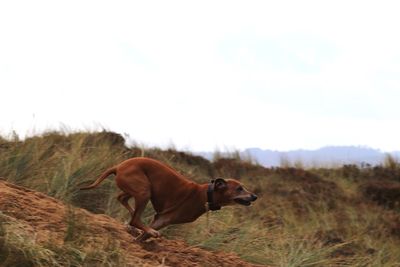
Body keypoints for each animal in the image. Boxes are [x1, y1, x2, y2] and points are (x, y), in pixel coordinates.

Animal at [79, 158, 258, 242]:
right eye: (239, 188)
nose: (254, 196)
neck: (206, 194)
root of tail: (118, 166)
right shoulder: (165, 218)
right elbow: (147, 231)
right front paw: (145, 237)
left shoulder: (163, 219)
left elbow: (145, 234)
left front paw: (139, 240)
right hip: (144, 191)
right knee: (135, 218)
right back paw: (137, 225)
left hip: (136, 190)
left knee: (122, 200)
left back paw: (132, 223)